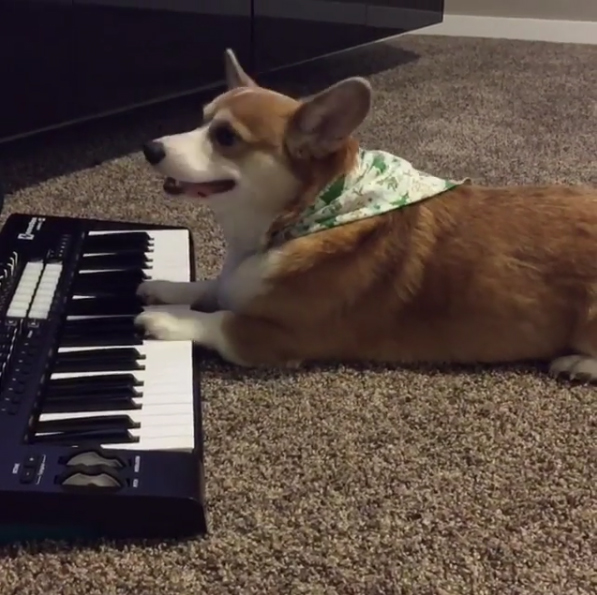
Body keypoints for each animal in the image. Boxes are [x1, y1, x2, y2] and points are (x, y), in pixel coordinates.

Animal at [135, 46, 596, 382]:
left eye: (227, 137)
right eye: (201, 120)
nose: (149, 147)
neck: (300, 217)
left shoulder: (281, 336)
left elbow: (220, 320)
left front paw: (166, 319)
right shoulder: (235, 281)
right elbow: (210, 287)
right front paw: (165, 287)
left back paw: (574, 364)